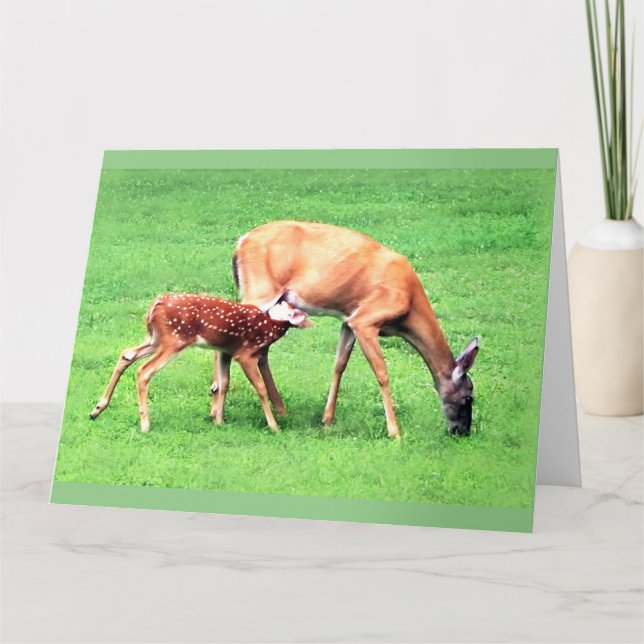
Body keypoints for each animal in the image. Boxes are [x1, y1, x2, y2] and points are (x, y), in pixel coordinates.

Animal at [89, 294, 312, 433]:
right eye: (288, 307)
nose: (282, 298)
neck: (270, 328)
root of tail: (154, 306)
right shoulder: (245, 353)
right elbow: (260, 387)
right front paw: (274, 427)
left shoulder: (225, 351)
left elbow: (223, 383)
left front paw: (219, 422)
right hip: (174, 340)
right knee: (144, 371)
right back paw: (145, 425)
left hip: (155, 339)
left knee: (126, 354)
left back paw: (97, 410)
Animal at [220, 220, 479, 440]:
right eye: (469, 397)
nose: (462, 431)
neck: (408, 306)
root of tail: (241, 242)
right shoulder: (366, 319)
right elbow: (381, 372)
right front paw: (394, 431)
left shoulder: (349, 320)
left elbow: (340, 364)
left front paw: (327, 419)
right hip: (261, 290)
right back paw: (220, 410)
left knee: (260, 349)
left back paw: (277, 409)